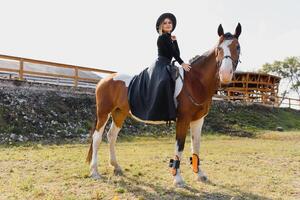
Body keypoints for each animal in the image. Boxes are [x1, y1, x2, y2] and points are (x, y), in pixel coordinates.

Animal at [84, 23, 241, 186]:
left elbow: (196, 145)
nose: (225, 74)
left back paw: (116, 166)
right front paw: (177, 178)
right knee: (97, 137)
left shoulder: (198, 120)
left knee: (111, 136)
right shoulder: (183, 120)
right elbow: (180, 146)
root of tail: (104, 80)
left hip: (119, 113)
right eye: (218, 48)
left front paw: (200, 174)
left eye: (237, 47)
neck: (194, 81)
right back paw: (94, 171)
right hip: (104, 113)